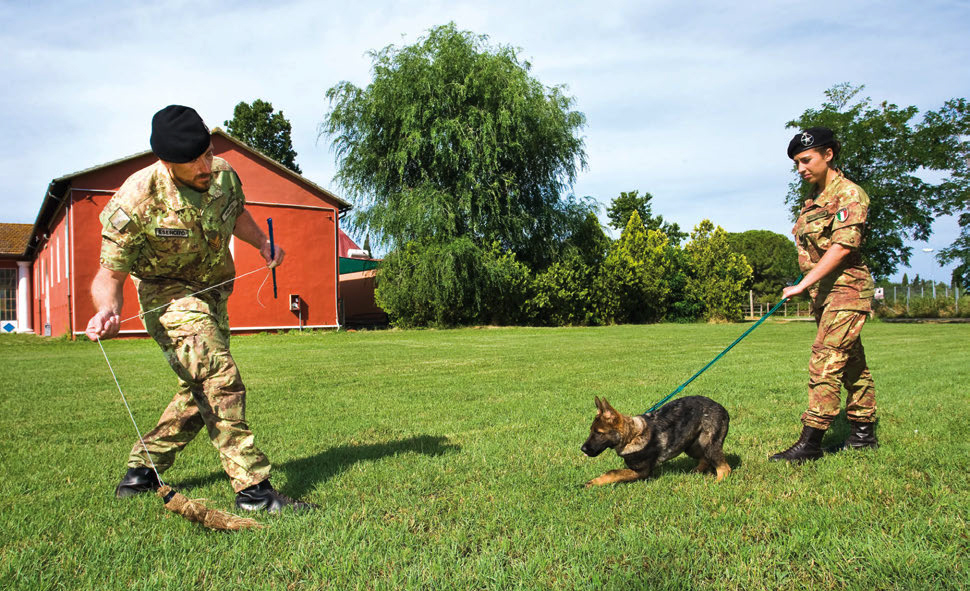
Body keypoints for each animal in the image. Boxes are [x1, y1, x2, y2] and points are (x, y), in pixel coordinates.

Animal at [580, 396, 728, 488]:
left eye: (599, 433)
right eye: (591, 431)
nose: (582, 449)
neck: (632, 436)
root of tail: (722, 408)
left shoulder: (641, 471)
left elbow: (613, 472)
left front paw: (594, 482)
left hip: (707, 444)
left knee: (724, 468)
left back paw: (717, 484)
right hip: (691, 446)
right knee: (705, 459)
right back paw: (696, 472)